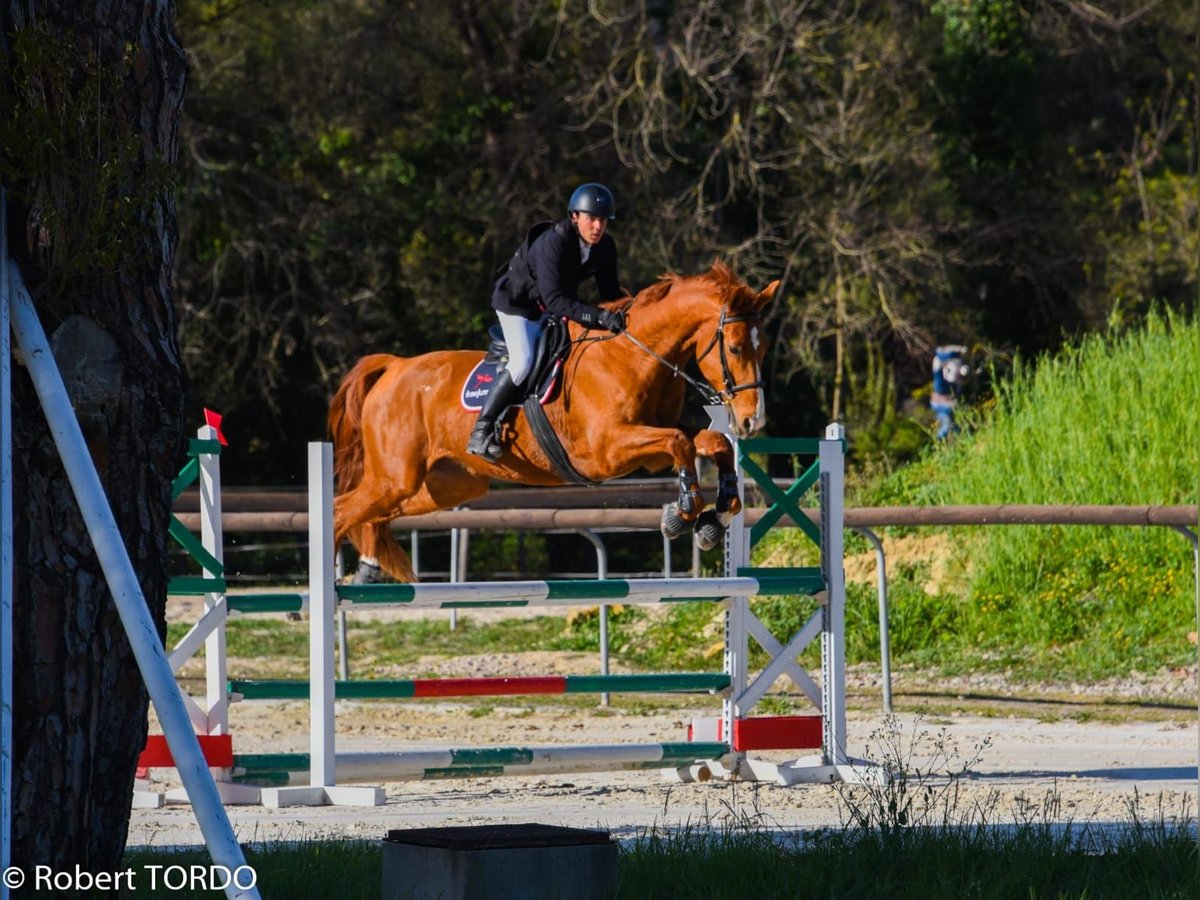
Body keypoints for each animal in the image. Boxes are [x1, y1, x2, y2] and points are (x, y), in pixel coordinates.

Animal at [328, 260, 777, 585]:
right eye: (735, 348)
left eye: (764, 347)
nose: (752, 421)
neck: (636, 356)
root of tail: (395, 367)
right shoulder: (607, 452)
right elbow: (680, 444)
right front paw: (680, 514)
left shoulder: (649, 447)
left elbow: (712, 442)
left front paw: (716, 517)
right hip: (394, 478)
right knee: (339, 511)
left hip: (444, 485)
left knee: (374, 515)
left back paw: (368, 565)